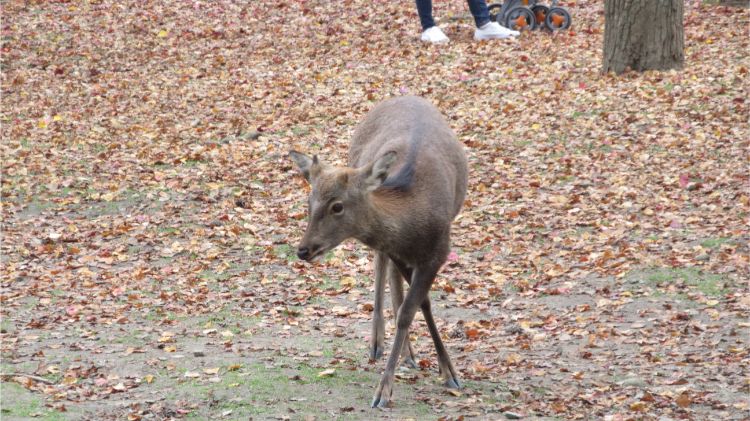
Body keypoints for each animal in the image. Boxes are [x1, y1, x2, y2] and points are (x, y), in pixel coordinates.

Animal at [289, 96, 468, 408]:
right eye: (309, 202)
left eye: (337, 205)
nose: (303, 250)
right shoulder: (400, 251)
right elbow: (414, 301)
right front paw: (389, 385)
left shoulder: (438, 252)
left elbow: (413, 308)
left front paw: (447, 372)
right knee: (380, 268)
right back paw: (377, 343)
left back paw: (407, 352)